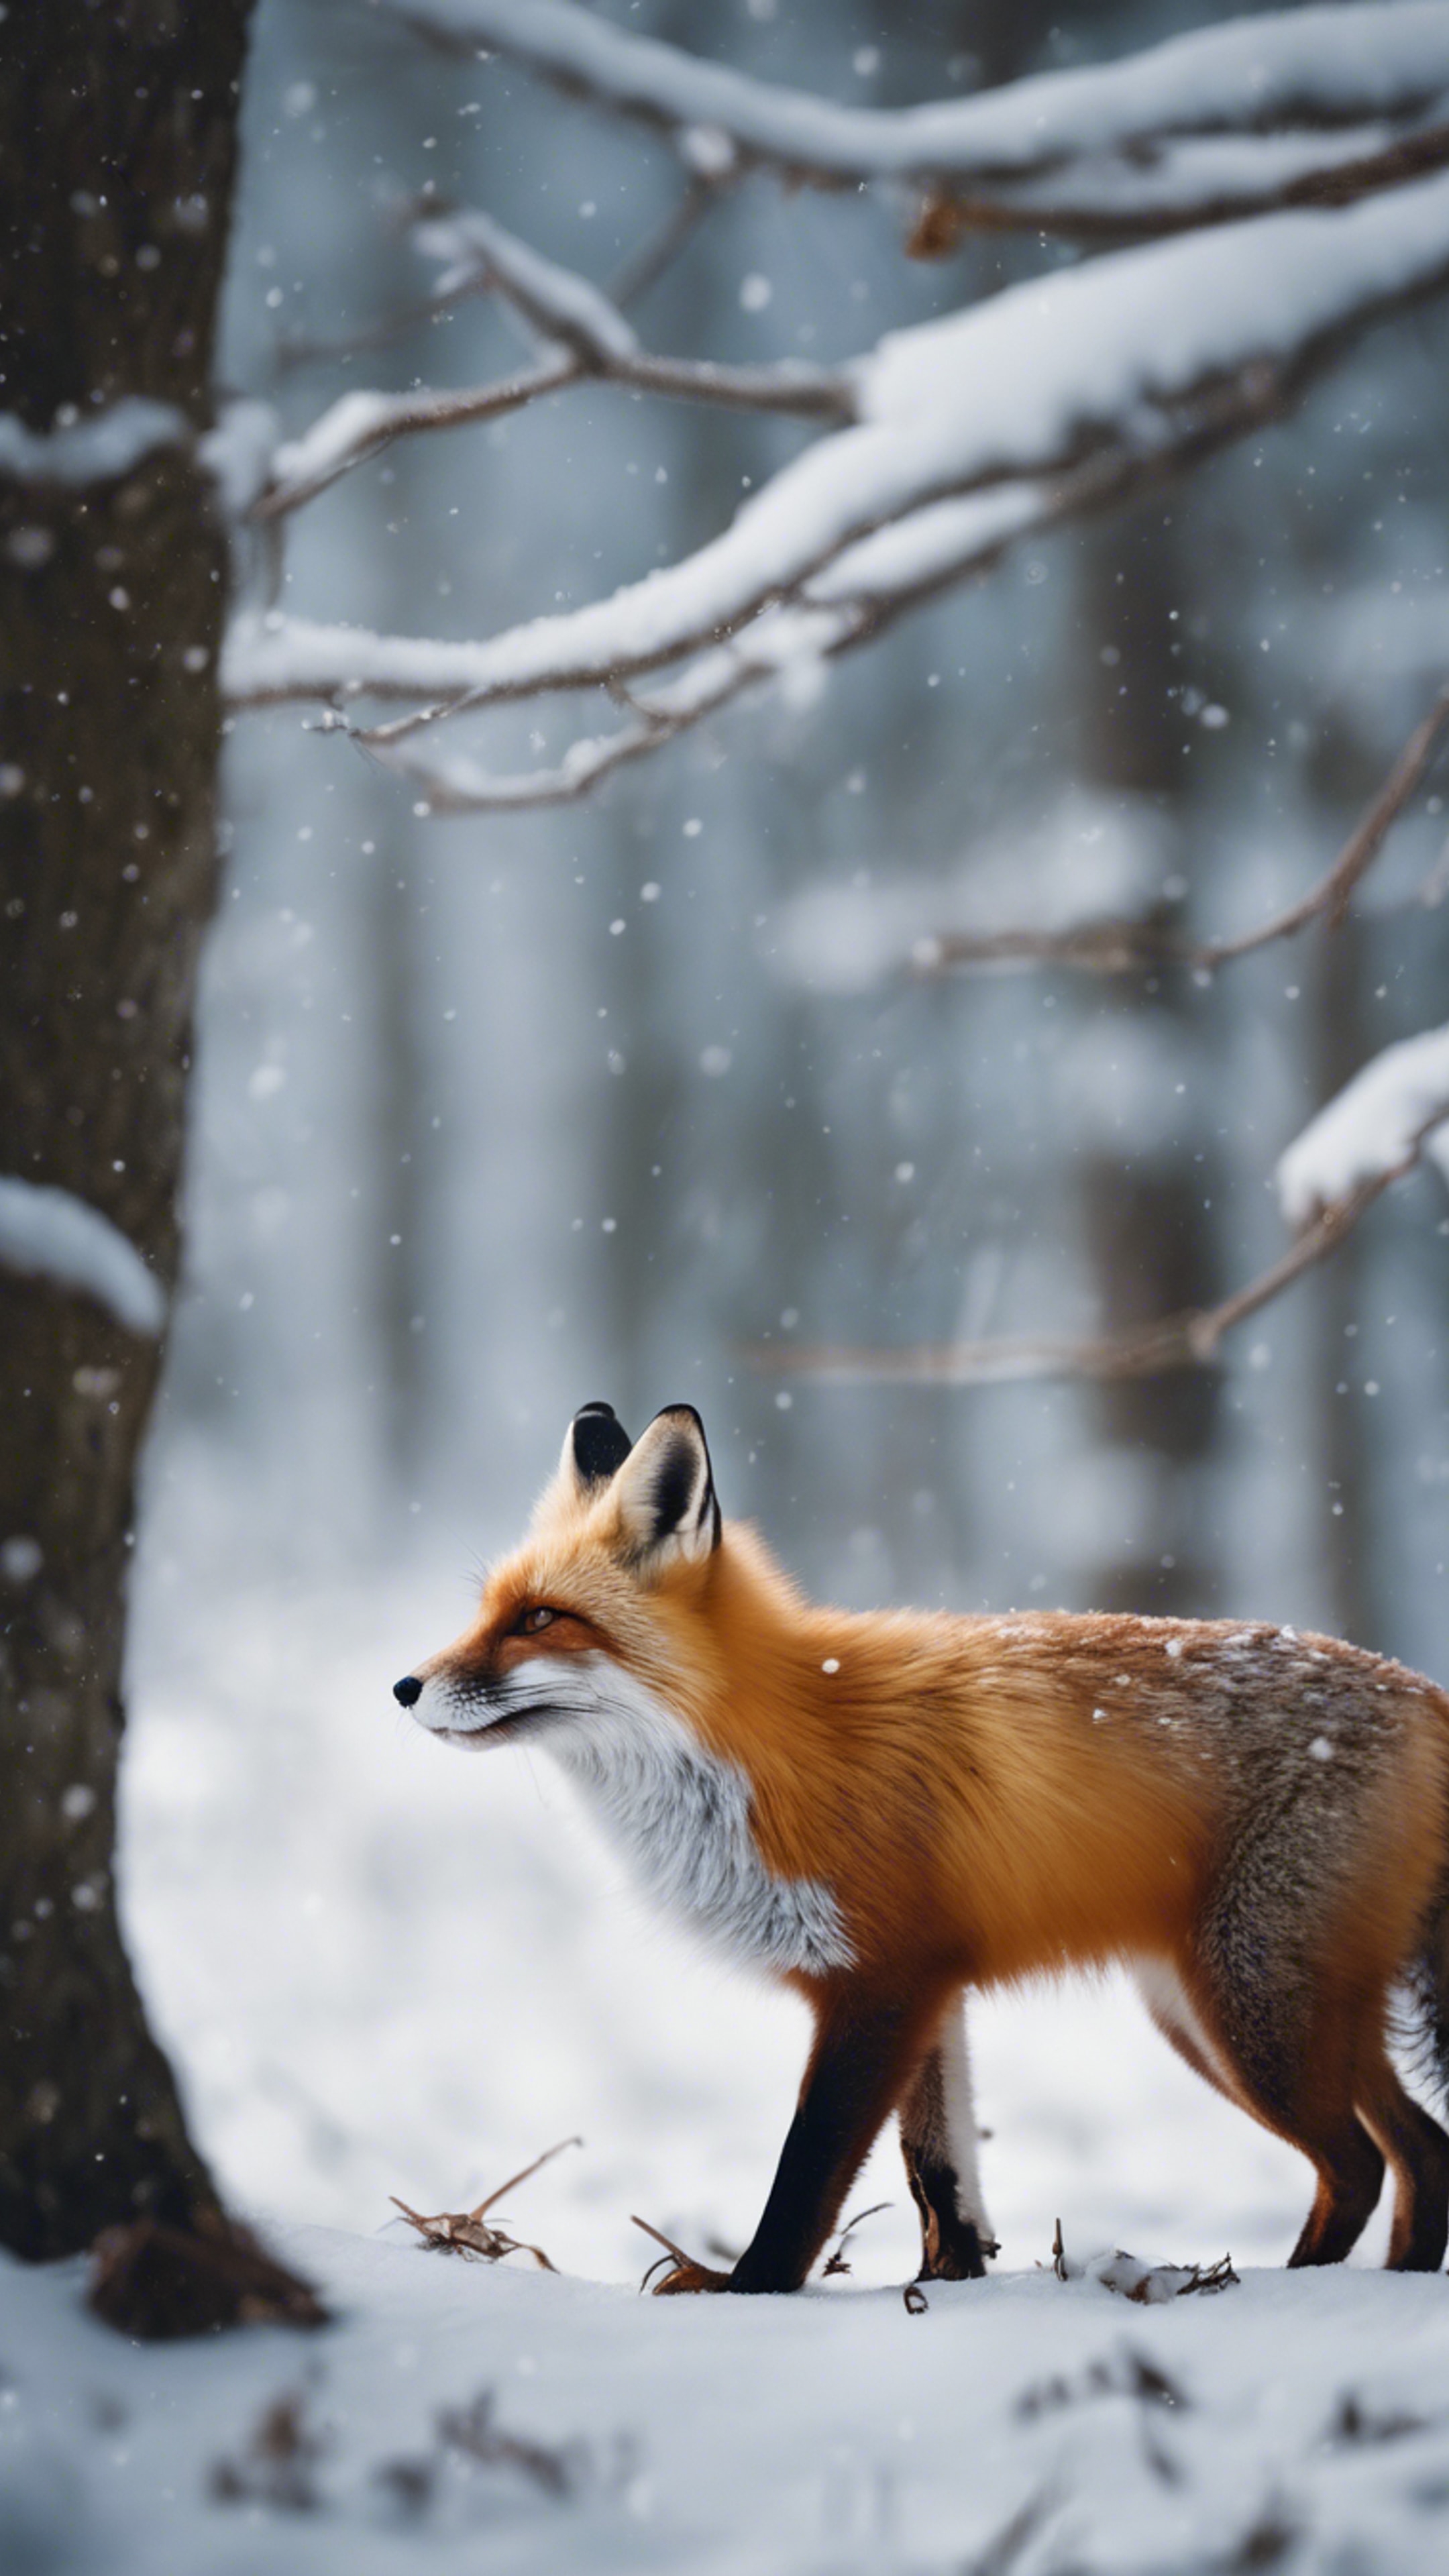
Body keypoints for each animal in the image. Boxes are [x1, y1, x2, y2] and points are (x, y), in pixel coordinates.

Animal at [393, 1399, 1449, 2296]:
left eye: (539, 1620)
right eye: (489, 1610)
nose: (404, 1687)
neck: (764, 1748)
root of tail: (1422, 1689)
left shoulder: (880, 1984)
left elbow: (809, 2171)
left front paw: (750, 2293)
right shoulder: (930, 1986)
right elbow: (938, 2173)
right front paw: (950, 2286)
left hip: (1249, 2010)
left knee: (1358, 2162)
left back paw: (1295, 2297)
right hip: (1254, 2013)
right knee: (1420, 2147)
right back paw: (1394, 2286)